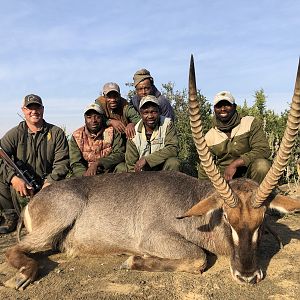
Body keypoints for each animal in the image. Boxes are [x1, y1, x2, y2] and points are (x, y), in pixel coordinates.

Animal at [4, 57, 300, 290]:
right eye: (227, 217)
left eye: (263, 220)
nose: (248, 276)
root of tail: (35, 199)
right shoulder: (154, 237)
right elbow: (199, 257)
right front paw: (133, 260)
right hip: (58, 220)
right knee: (12, 249)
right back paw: (21, 276)